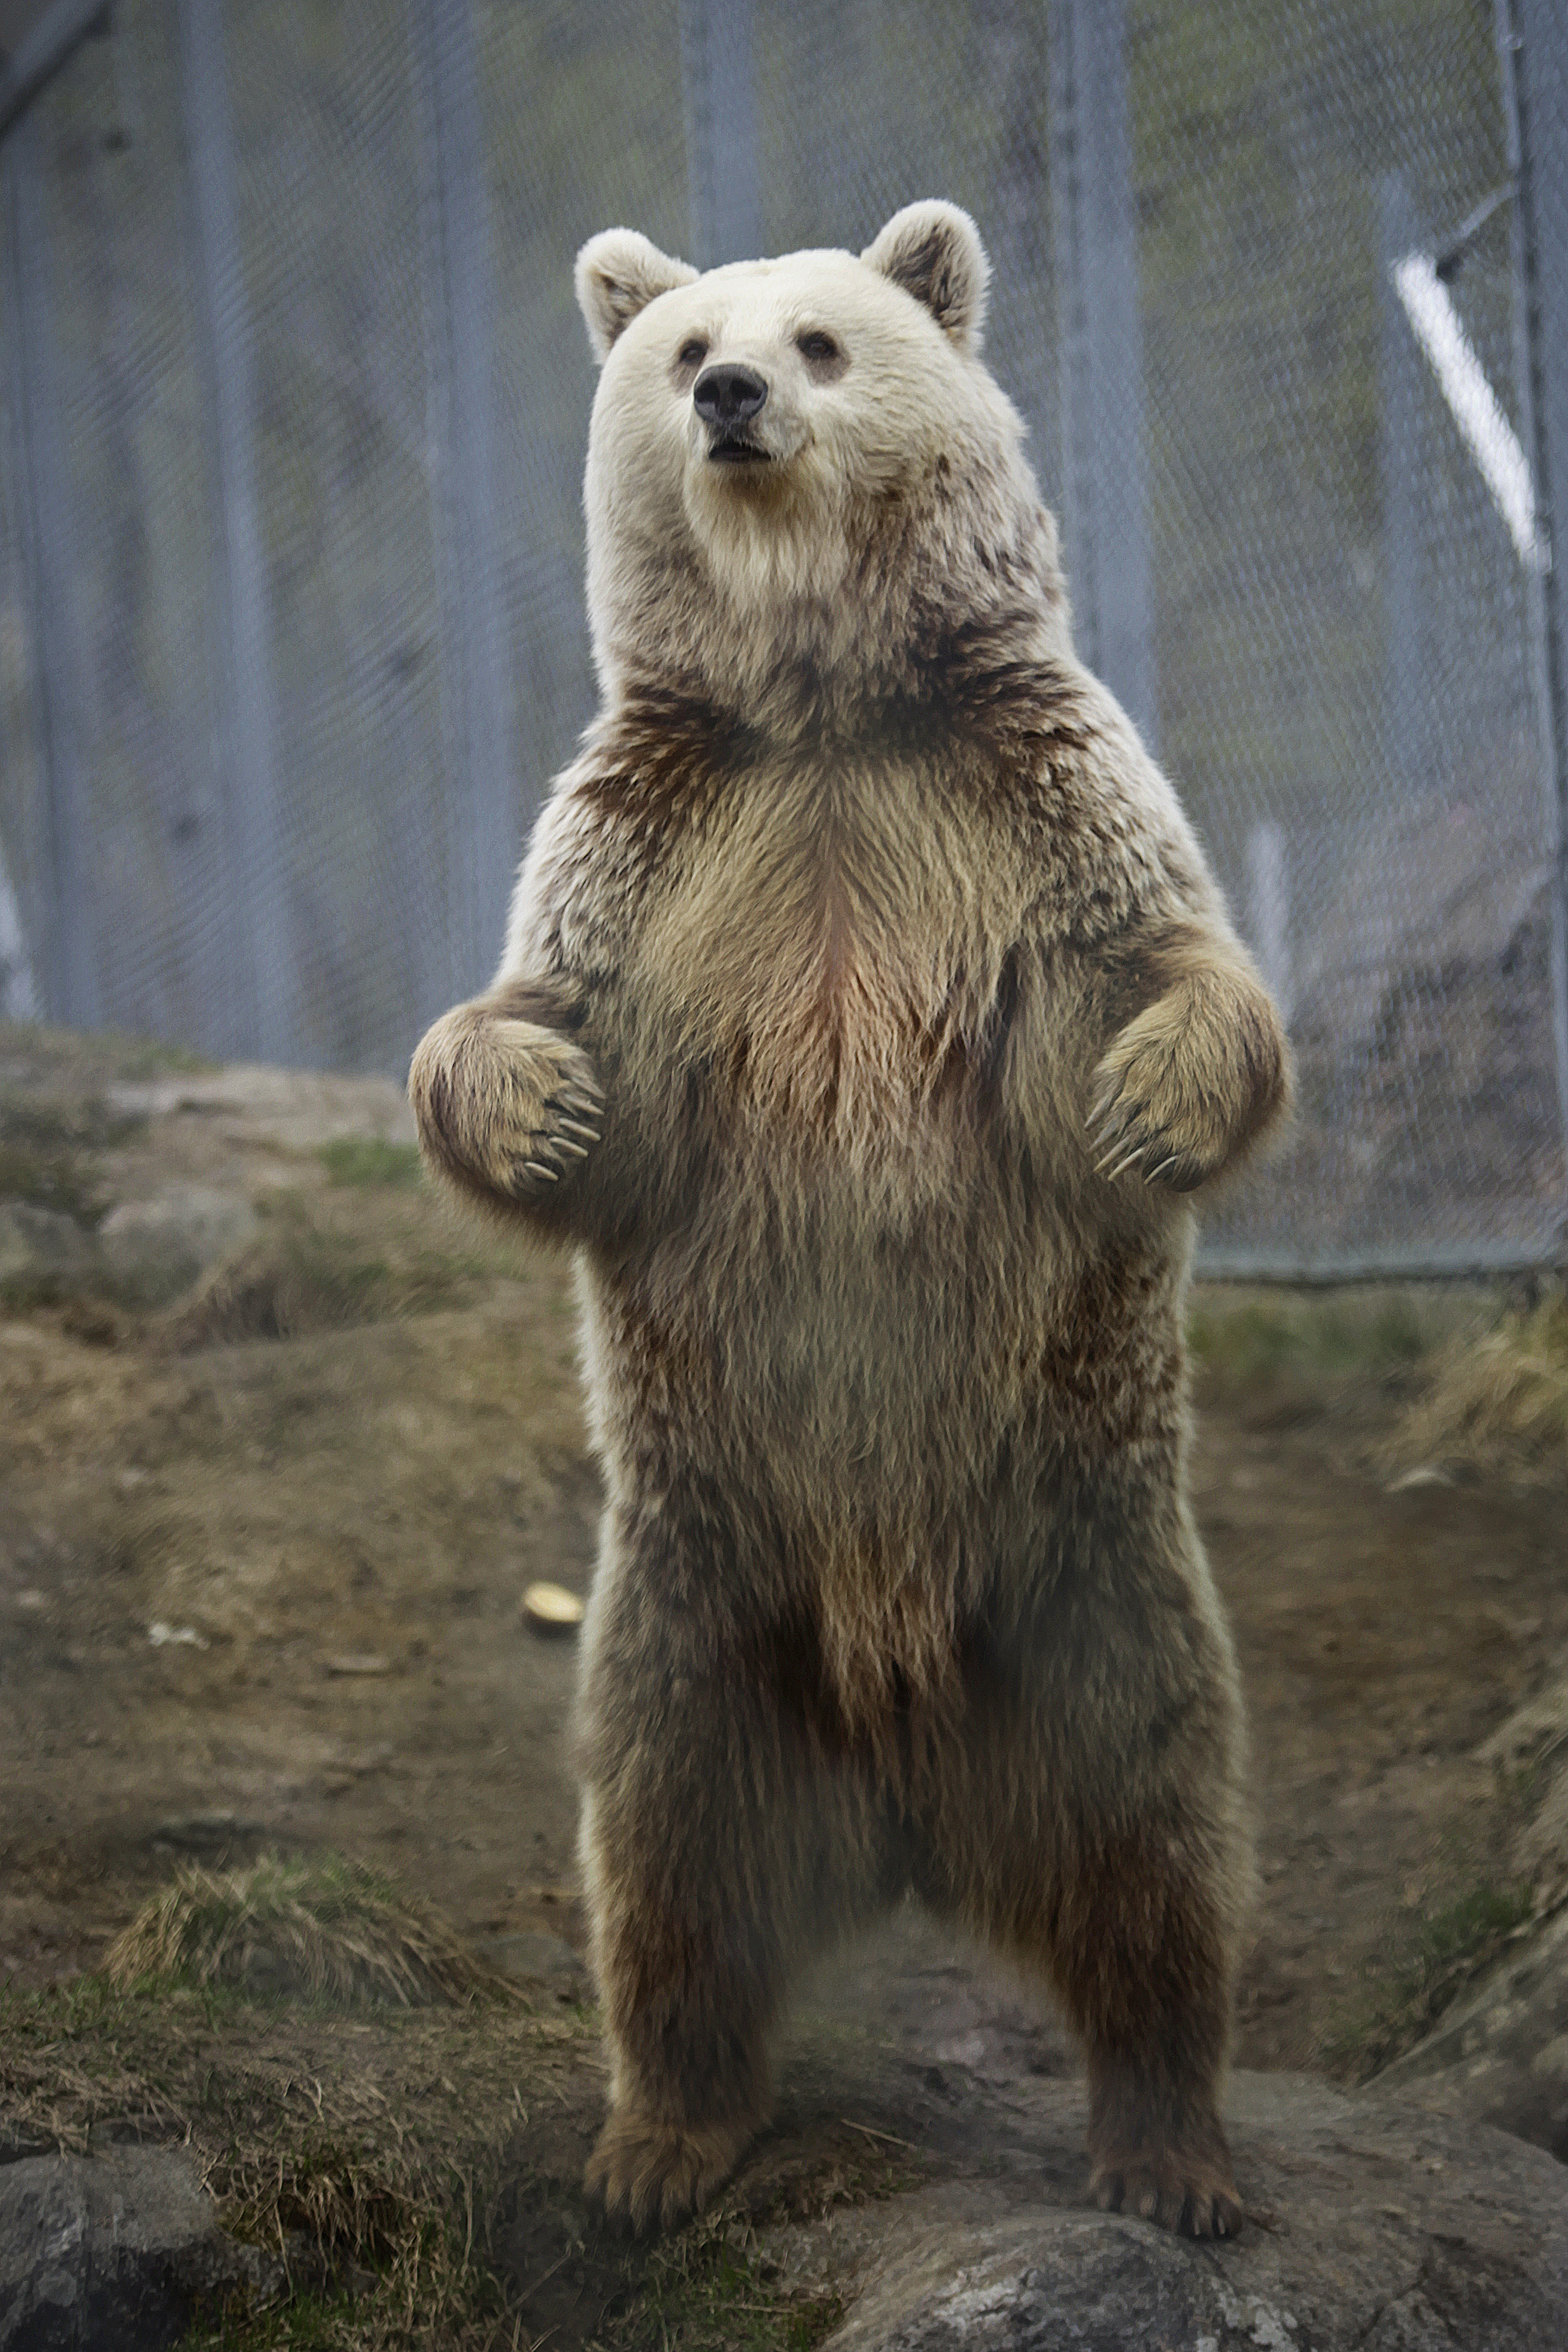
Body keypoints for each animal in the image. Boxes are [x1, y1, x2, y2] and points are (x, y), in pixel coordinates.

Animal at [411, 202, 1297, 2239]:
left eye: (821, 337)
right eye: (682, 349)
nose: (733, 394)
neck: (820, 704)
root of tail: (906, 1799)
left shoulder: (1019, 805)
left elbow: (1179, 968)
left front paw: (1148, 1093)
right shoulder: (661, 850)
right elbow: (536, 1027)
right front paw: (536, 1095)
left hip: (1084, 1586)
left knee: (1161, 1855)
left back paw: (1173, 2149)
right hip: (699, 1604)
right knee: (665, 1865)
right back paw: (658, 2138)